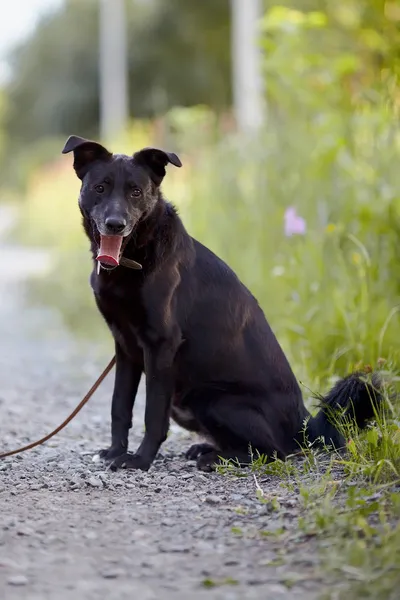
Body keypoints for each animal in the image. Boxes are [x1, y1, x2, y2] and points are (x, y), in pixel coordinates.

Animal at [61, 134, 380, 472]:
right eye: (100, 188)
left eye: (136, 191)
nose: (115, 224)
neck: (134, 259)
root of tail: (304, 425)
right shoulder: (125, 348)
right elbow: (119, 407)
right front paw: (114, 451)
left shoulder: (160, 346)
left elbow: (152, 415)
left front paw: (140, 460)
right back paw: (205, 448)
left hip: (213, 400)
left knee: (273, 452)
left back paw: (215, 458)